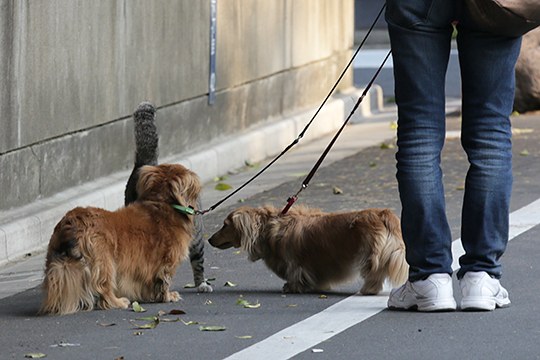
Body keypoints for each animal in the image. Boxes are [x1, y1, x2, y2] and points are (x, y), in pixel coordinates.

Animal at [40, 164, 200, 316]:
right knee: (103, 287)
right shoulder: (166, 263)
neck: (161, 203)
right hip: (105, 262)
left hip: (59, 264)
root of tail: (73, 224)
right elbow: (164, 282)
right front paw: (168, 296)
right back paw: (117, 302)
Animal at [209, 205, 408, 296]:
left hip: (369, 254)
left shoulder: (296, 263)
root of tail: (384, 214)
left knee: (374, 273)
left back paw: (368, 289)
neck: (270, 228)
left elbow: (296, 274)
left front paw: (292, 287)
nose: (209, 239)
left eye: (225, 225)